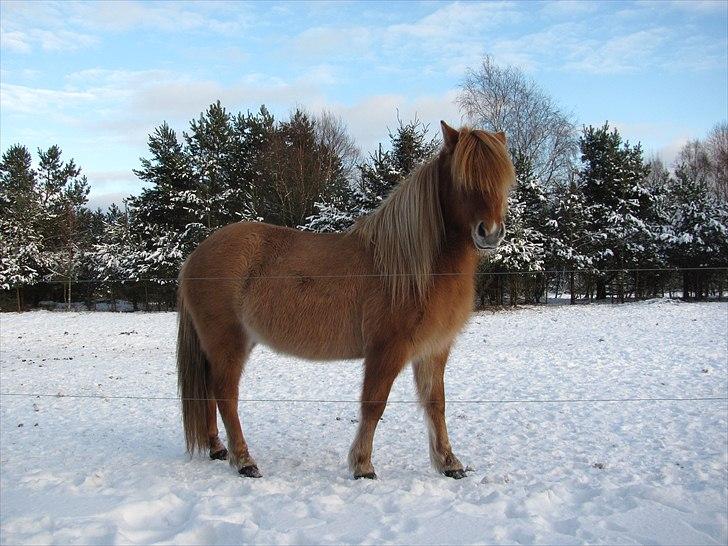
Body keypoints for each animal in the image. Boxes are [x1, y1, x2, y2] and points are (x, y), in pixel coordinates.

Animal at [177, 121, 516, 478]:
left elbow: (436, 404)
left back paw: (218, 448)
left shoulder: (434, 349)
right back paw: (244, 460)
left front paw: (449, 462)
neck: (412, 268)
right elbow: (373, 405)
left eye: (503, 180)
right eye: (463, 179)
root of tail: (194, 257)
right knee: (225, 396)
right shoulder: (386, 349)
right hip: (228, 343)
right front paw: (363, 465)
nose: (490, 233)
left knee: (209, 394)